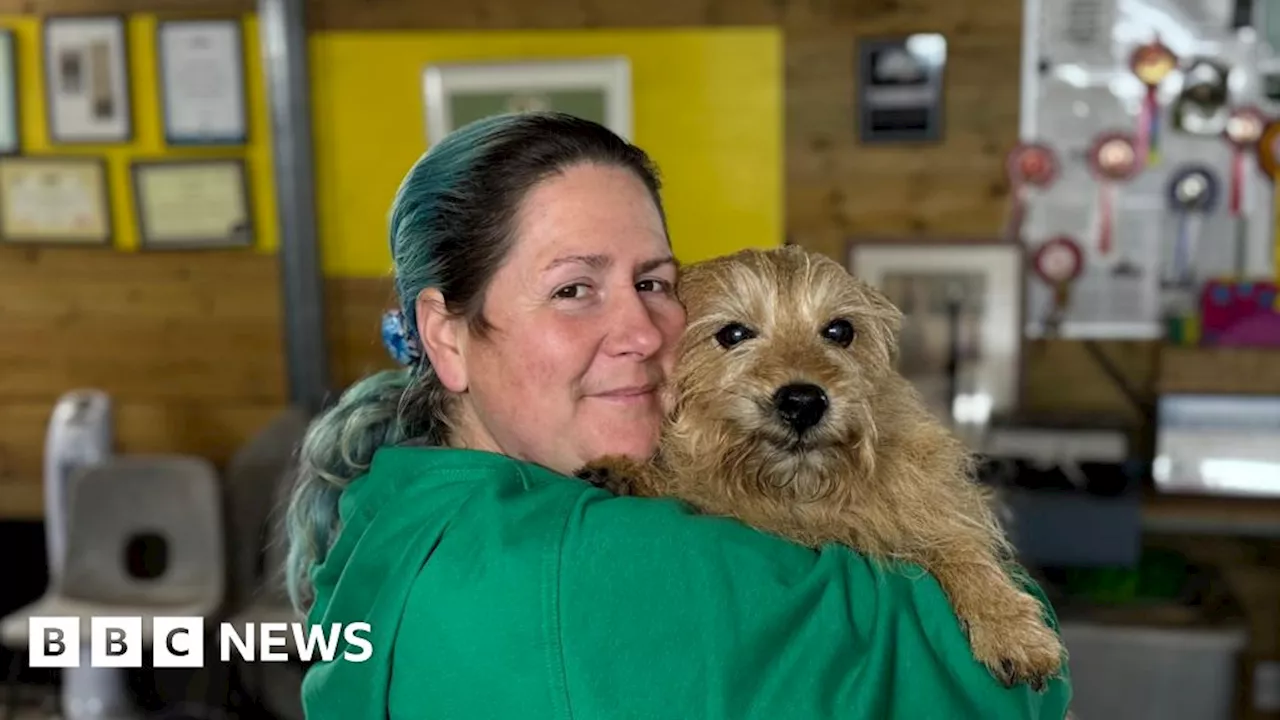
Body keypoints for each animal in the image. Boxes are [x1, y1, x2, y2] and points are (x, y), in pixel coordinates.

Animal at [576, 244, 1064, 691]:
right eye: (733, 333)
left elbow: (959, 547)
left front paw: (1010, 626)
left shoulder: (927, 508)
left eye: (839, 330)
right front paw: (631, 473)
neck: (801, 490)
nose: (803, 401)